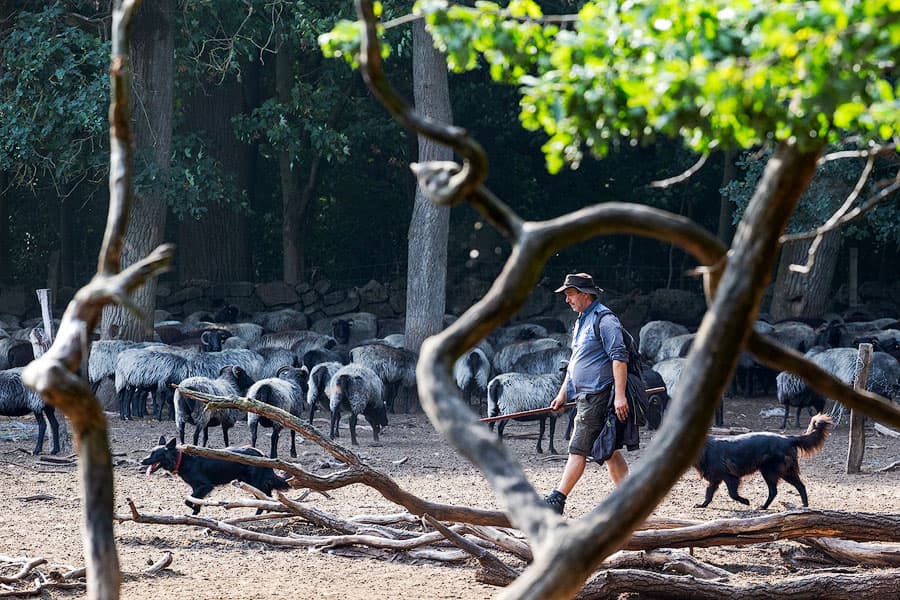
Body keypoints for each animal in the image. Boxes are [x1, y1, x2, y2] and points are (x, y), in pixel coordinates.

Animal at [141, 434, 290, 512]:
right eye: (150, 453)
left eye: (155, 455)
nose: (142, 461)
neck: (181, 459)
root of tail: (262, 454)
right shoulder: (197, 487)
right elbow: (193, 500)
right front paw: (196, 511)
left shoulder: (205, 485)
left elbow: (188, 500)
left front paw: (195, 509)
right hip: (248, 482)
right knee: (266, 493)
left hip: (254, 482)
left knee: (264, 495)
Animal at [692, 414, 832, 508]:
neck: (705, 449)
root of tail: (788, 438)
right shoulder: (715, 479)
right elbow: (709, 493)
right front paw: (702, 505)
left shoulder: (730, 477)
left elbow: (732, 494)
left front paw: (746, 501)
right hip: (782, 472)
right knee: (797, 487)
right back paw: (802, 506)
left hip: (771, 471)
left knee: (777, 490)